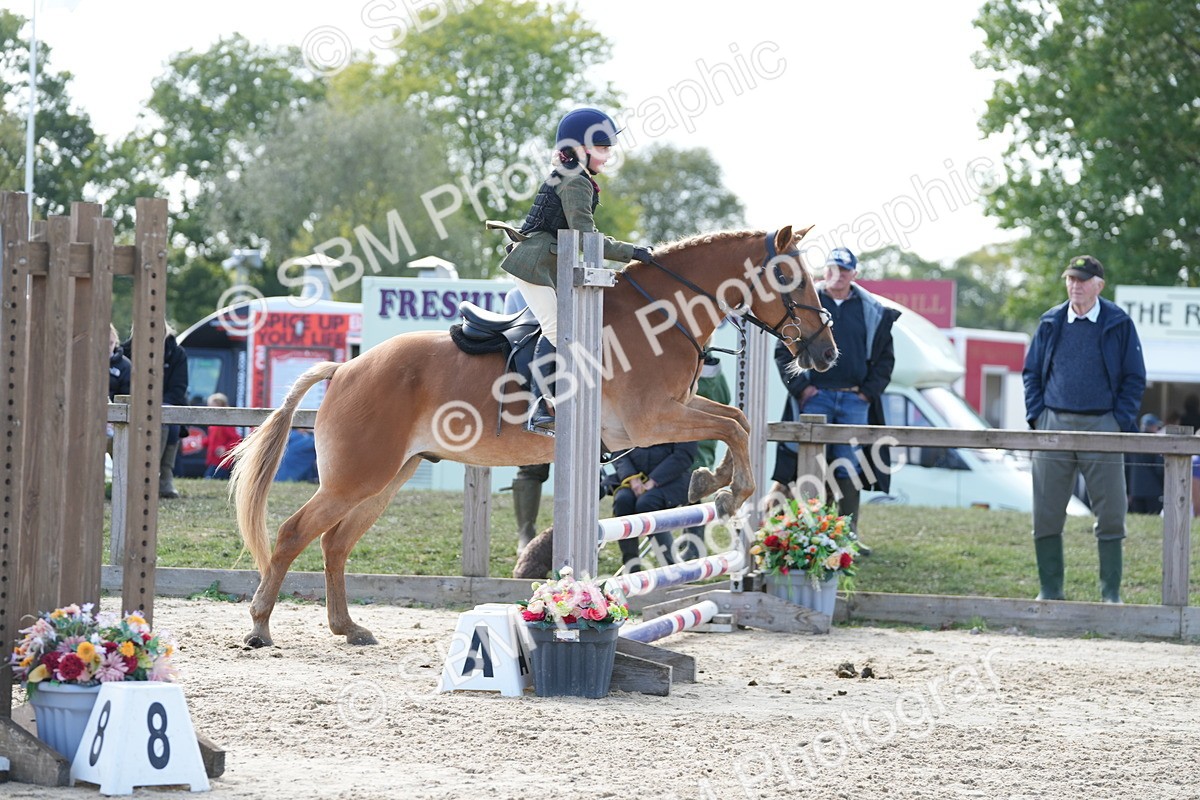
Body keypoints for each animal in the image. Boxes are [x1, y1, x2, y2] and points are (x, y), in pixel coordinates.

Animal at [229, 225, 838, 646]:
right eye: (790, 278)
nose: (826, 353)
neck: (662, 315)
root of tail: (346, 369)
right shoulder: (651, 420)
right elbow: (731, 425)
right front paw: (728, 491)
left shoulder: (672, 411)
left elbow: (736, 422)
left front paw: (712, 483)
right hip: (358, 476)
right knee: (293, 533)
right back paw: (259, 628)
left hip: (386, 478)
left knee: (335, 543)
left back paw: (348, 628)